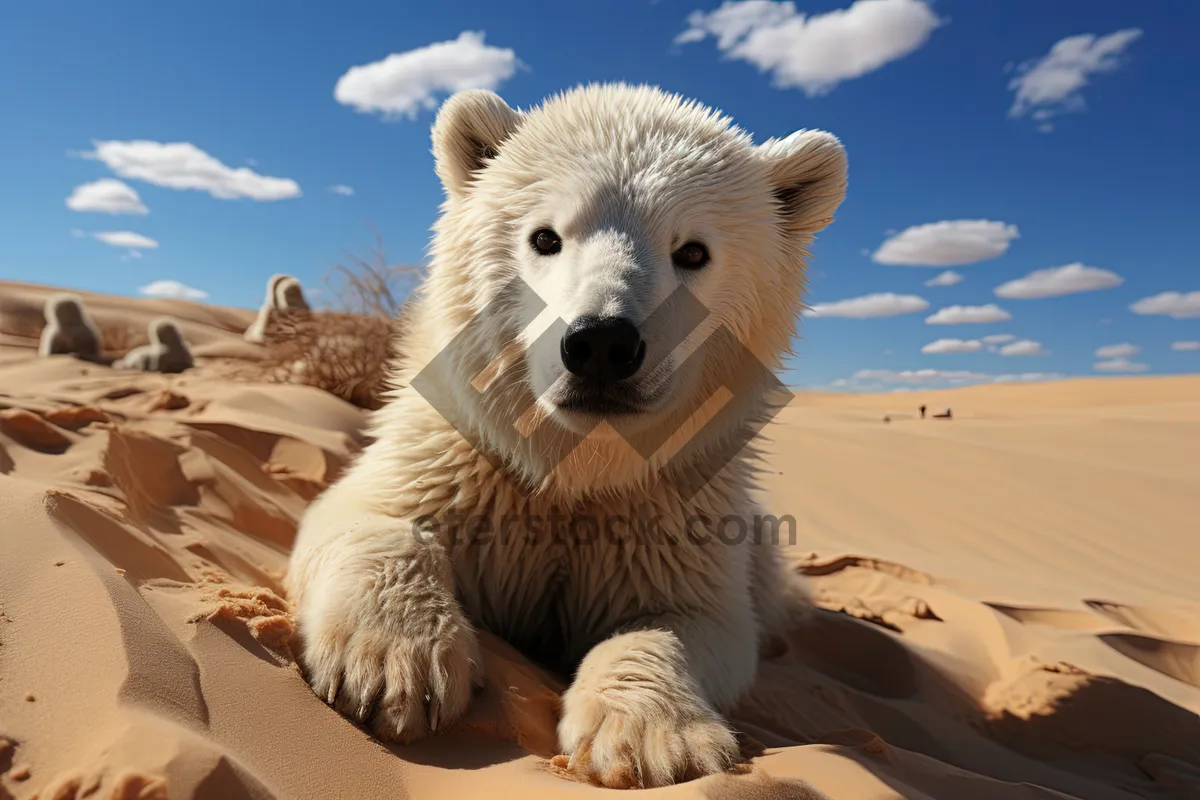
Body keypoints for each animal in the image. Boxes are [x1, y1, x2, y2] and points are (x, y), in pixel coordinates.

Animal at [289, 82, 849, 786]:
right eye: (545, 236)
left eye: (693, 251)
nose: (603, 344)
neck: (574, 464)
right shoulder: (460, 458)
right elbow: (365, 516)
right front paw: (393, 665)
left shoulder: (669, 515)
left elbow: (691, 619)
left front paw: (649, 740)